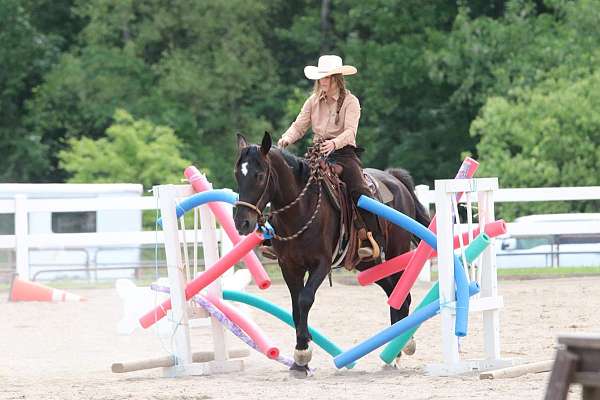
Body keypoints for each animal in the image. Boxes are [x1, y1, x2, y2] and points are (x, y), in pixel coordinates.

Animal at [232, 133, 428, 374]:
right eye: (237, 174)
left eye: (259, 176)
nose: (242, 222)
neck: (301, 209)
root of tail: (395, 178)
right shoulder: (289, 266)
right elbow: (295, 307)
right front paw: (300, 362)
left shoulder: (322, 264)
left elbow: (305, 299)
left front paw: (303, 351)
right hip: (369, 264)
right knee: (393, 293)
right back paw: (394, 354)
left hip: (395, 252)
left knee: (403, 296)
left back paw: (404, 345)